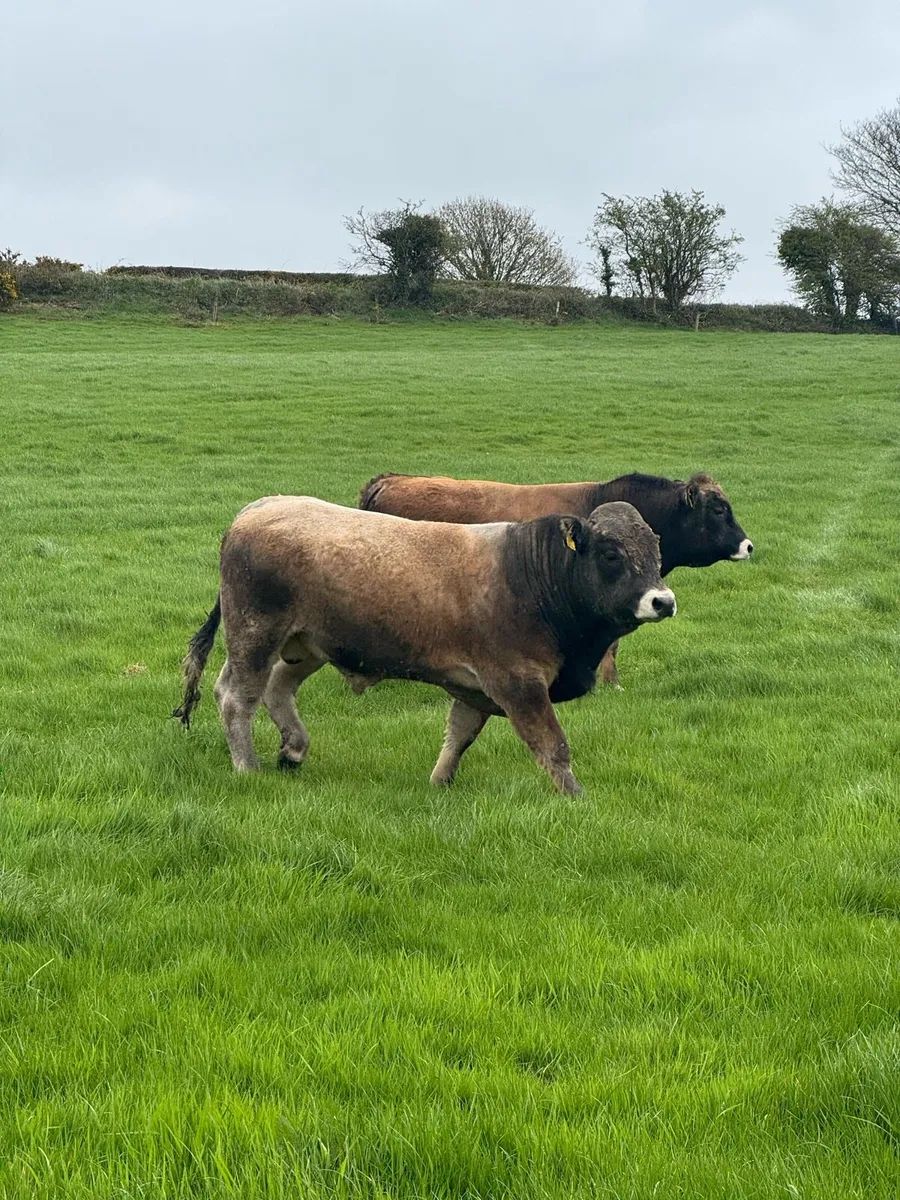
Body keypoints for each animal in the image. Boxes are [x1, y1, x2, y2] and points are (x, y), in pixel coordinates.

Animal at [173, 497, 676, 795]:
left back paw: (294, 748)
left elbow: (459, 736)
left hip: (307, 644)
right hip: (255, 635)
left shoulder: (476, 688)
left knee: (275, 688)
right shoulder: (517, 683)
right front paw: (575, 798)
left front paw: (439, 783)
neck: (531, 575)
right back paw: (247, 766)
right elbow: (553, 746)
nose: (664, 601)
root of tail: (256, 508)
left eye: (656, 551)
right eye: (611, 554)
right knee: (237, 697)